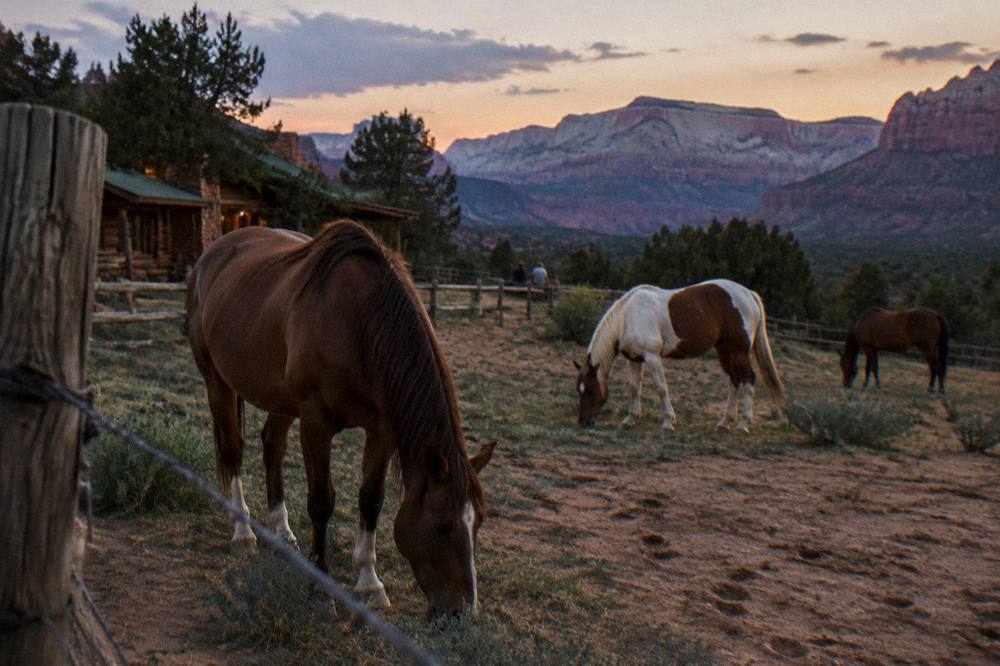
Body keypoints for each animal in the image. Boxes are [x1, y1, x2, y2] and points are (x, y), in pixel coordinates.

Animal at [186, 220, 495, 618]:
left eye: (479, 523)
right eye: (441, 525)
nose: (462, 613)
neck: (359, 323)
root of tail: (211, 256)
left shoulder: (381, 428)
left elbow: (371, 499)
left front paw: (369, 583)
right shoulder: (316, 421)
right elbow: (321, 500)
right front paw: (320, 587)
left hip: (281, 398)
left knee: (272, 446)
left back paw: (281, 532)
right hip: (217, 380)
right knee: (232, 450)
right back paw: (243, 531)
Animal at [573, 279, 784, 433]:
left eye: (590, 391)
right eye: (579, 390)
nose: (584, 422)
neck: (628, 317)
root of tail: (749, 293)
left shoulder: (652, 357)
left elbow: (661, 388)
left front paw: (668, 421)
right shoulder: (634, 359)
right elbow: (634, 388)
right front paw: (630, 419)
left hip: (739, 349)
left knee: (748, 378)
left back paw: (743, 424)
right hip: (725, 349)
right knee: (734, 379)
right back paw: (725, 421)